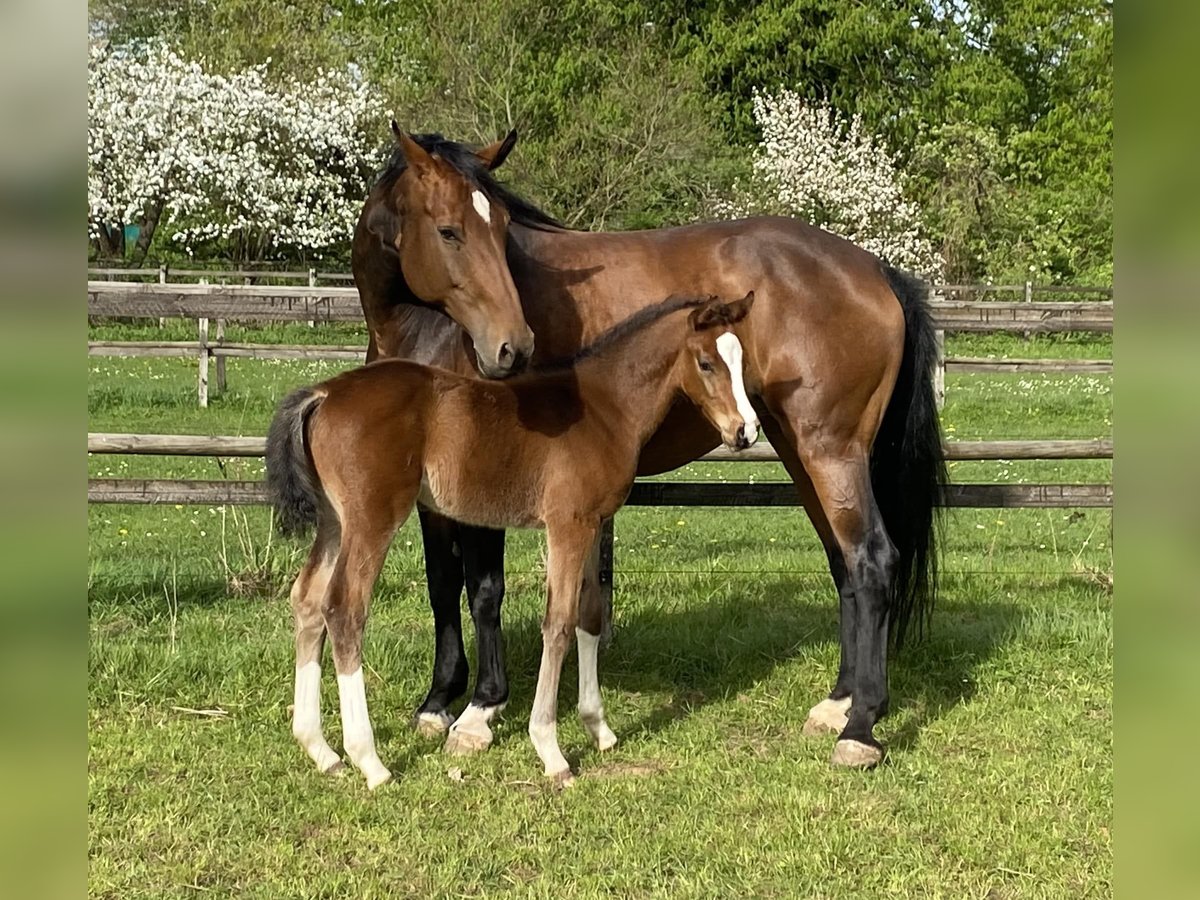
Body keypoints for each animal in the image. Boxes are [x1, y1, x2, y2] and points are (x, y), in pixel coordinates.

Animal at [270, 292, 758, 787]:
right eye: (706, 362)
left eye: (741, 360)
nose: (746, 431)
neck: (604, 408)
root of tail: (323, 394)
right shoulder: (567, 525)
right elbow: (558, 623)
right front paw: (551, 751)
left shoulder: (592, 522)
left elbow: (589, 615)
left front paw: (598, 728)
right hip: (372, 518)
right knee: (343, 608)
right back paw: (369, 761)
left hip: (334, 521)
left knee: (306, 599)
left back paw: (321, 751)